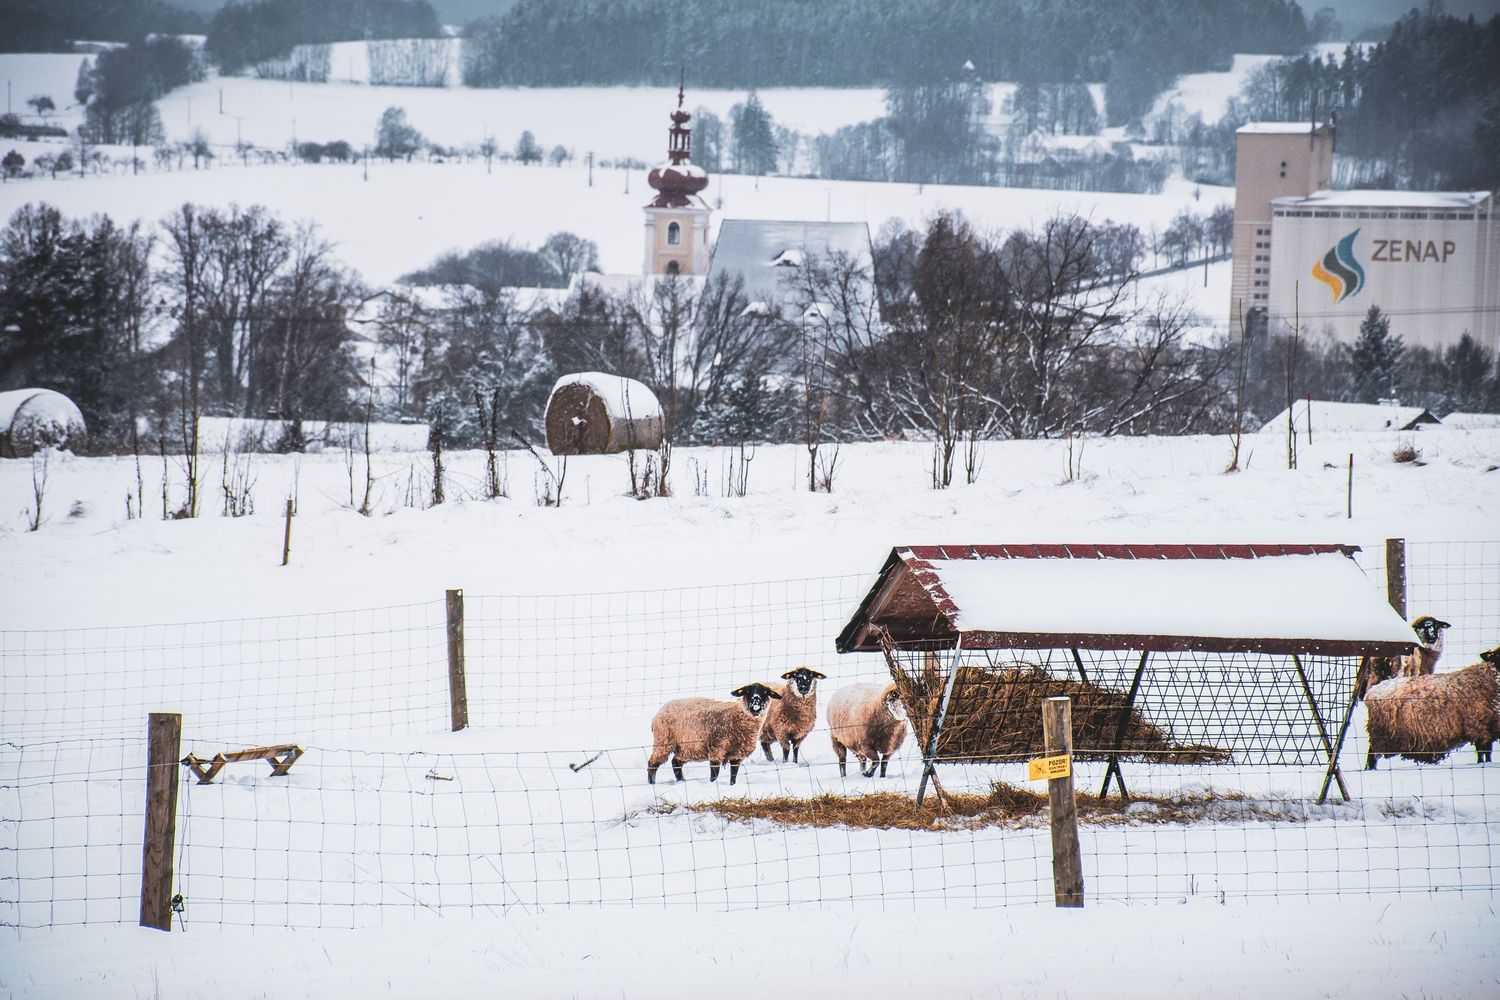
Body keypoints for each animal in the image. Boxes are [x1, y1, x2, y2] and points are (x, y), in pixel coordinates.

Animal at [647, 683, 781, 785]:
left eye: (765, 692)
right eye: (747, 691)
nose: (755, 702)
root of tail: (659, 712)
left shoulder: (737, 754)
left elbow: (734, 774)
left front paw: (732, 785)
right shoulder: (717, 749)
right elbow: (714, 773)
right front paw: (713, 784)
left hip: (687, 748)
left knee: (676, 762)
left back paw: (681, 781)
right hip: (663, 742)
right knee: (652, 764)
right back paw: (652, 783)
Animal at [1364, 645, 1500, 769]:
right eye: (1497, 655)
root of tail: (1372, 691)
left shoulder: (1489, 728)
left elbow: (1487, 752)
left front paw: (1488, 763)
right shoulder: (1478, 726)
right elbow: (1482, 752)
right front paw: (1483, 765)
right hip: (1380, 733)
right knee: (1372, 755)